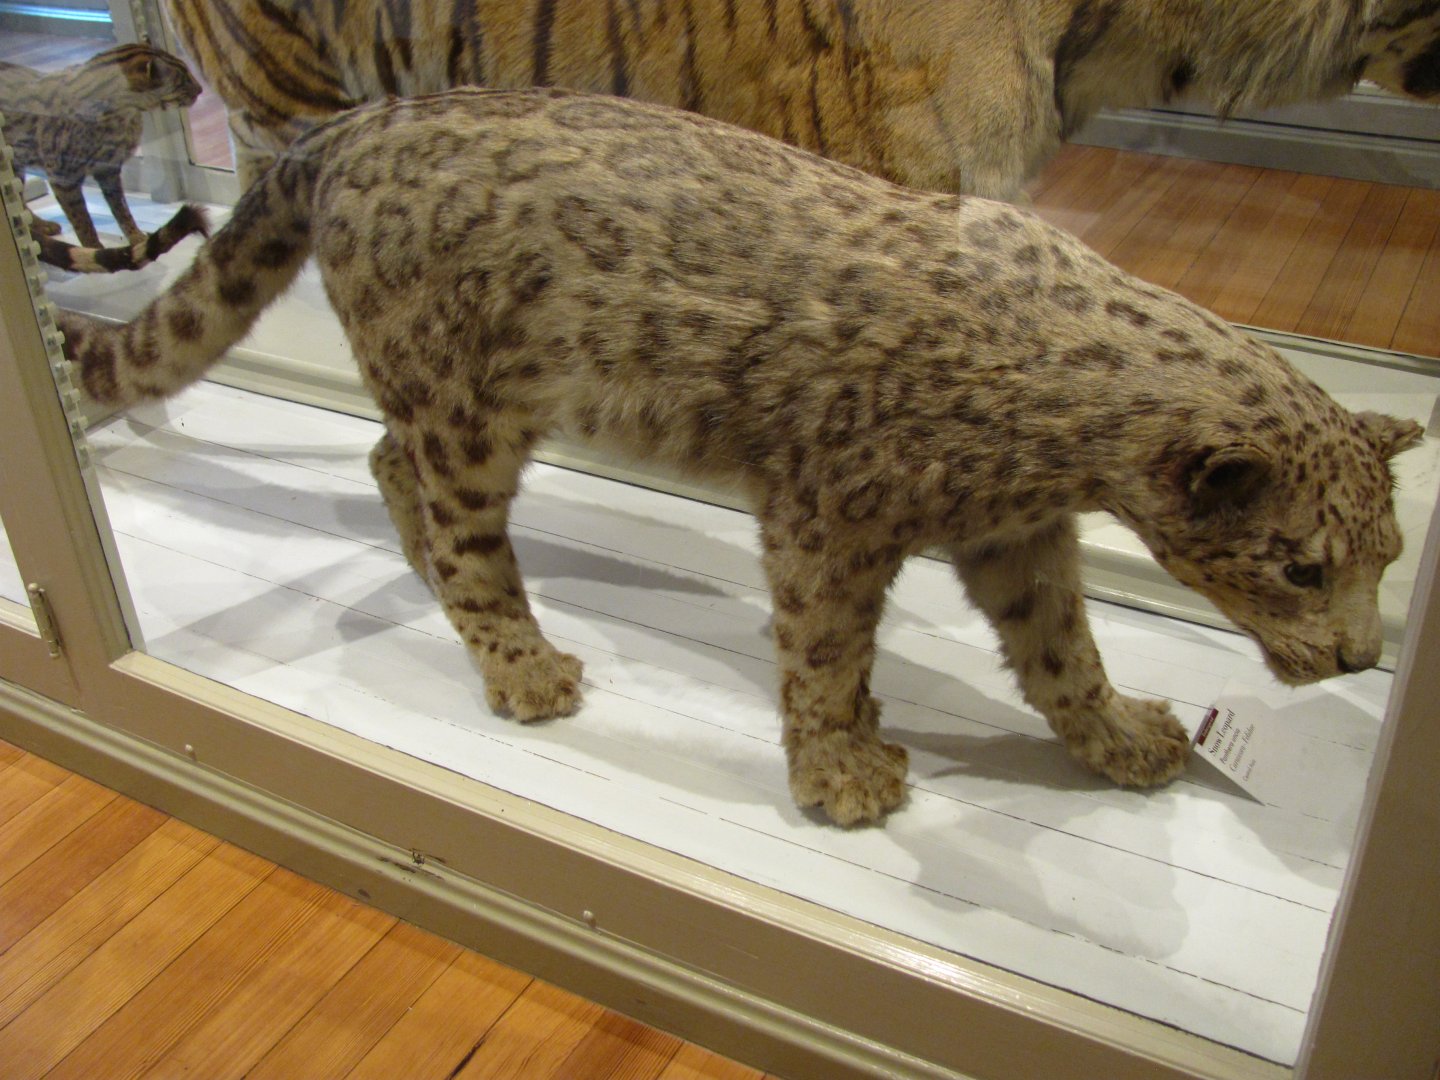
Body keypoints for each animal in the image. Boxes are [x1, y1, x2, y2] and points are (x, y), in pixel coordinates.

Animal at [57, 89, 1424, 825]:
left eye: (1390, 554)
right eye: (1303, 568)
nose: (1362, 657)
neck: (1059, 448)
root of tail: (347, 124)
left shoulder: (1015, 534)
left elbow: (1062, 652)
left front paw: (1123, 738)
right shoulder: (831, 516)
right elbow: (825, 650)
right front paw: (842, 768)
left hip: (479, 402)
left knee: (391, 466)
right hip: (469, 408)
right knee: (445, 504)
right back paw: (523, 661)